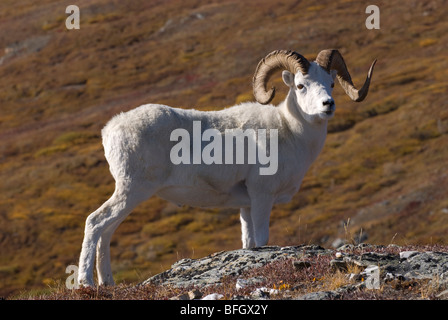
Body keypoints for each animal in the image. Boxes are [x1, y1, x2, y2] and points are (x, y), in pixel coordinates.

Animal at [77, 48, 374, 286]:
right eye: (301, 86)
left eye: (331, 83)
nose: (328, 105)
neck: (289, 132)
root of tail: (110, 129)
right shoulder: (262, 196)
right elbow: (263, 240)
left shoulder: (246, 206)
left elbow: (249, 243)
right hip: (132, 190)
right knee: (95, 222)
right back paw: (86, 283)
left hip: (130, 195)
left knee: (106, 231)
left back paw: (107, 283)